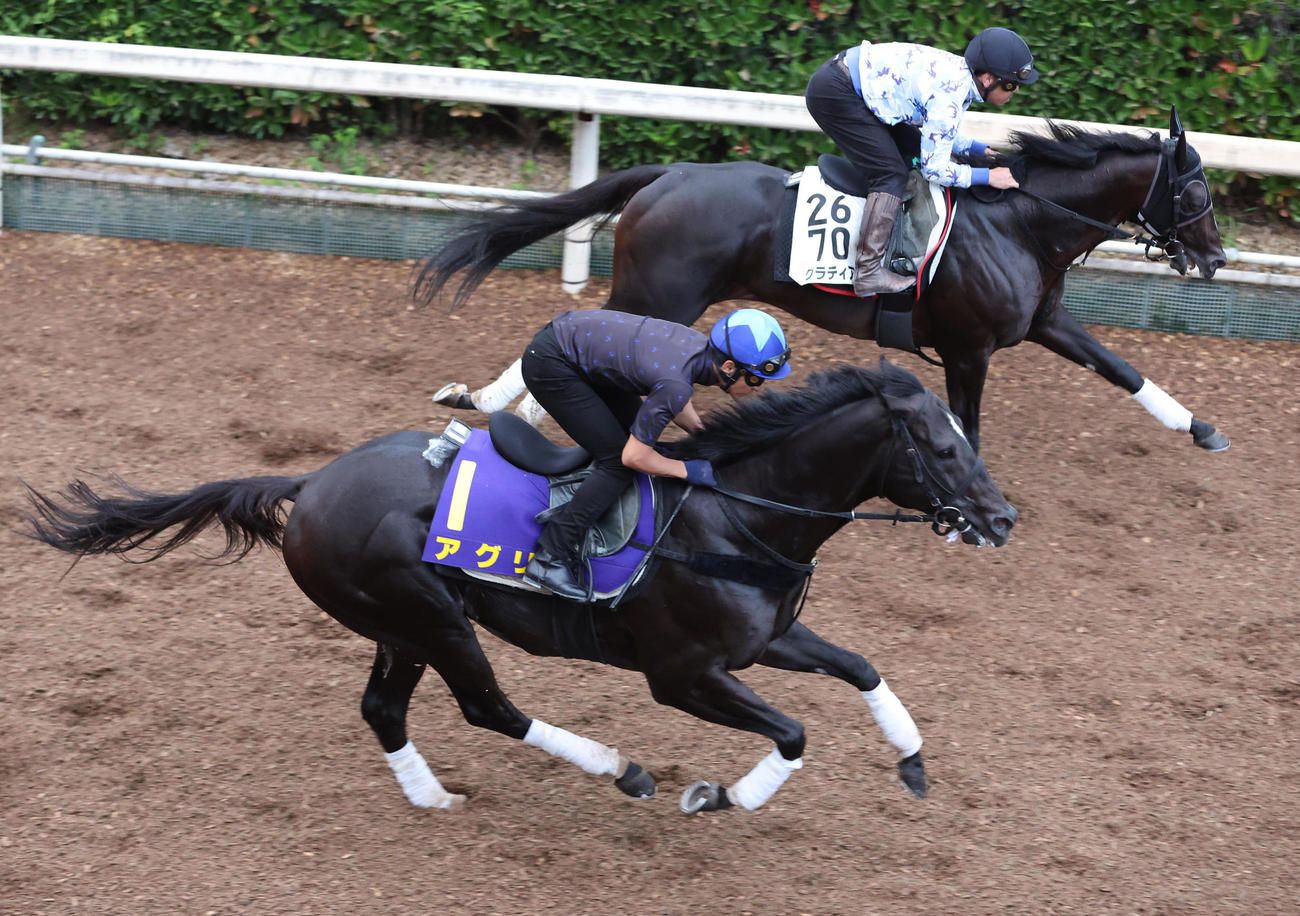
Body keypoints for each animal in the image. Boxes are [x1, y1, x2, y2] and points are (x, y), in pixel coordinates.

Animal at [24, 361, 1016, 814]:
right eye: (941, 447)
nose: (1002, 518)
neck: (738, 518)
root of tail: (310, 485)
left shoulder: (764, 639)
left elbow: (861, 667)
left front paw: (912, 760)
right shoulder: (682, 675)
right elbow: (796, 731)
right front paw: (720, 794)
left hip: (402, 623)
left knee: (384, 708)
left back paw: (431, 797)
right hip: (430, 618)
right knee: (487, 708)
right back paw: (621, 769)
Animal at [414, 112, 1230, 456]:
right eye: (1194, 193)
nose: (1216, 259)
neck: (1021, 221)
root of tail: (668, 173)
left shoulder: (1042, 325)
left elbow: (1120, 367)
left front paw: (1203, 428)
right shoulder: (969, 350)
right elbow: (967, 422)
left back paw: (481, 402)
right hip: (659, 296)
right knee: (571, 337)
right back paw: (489, 401)